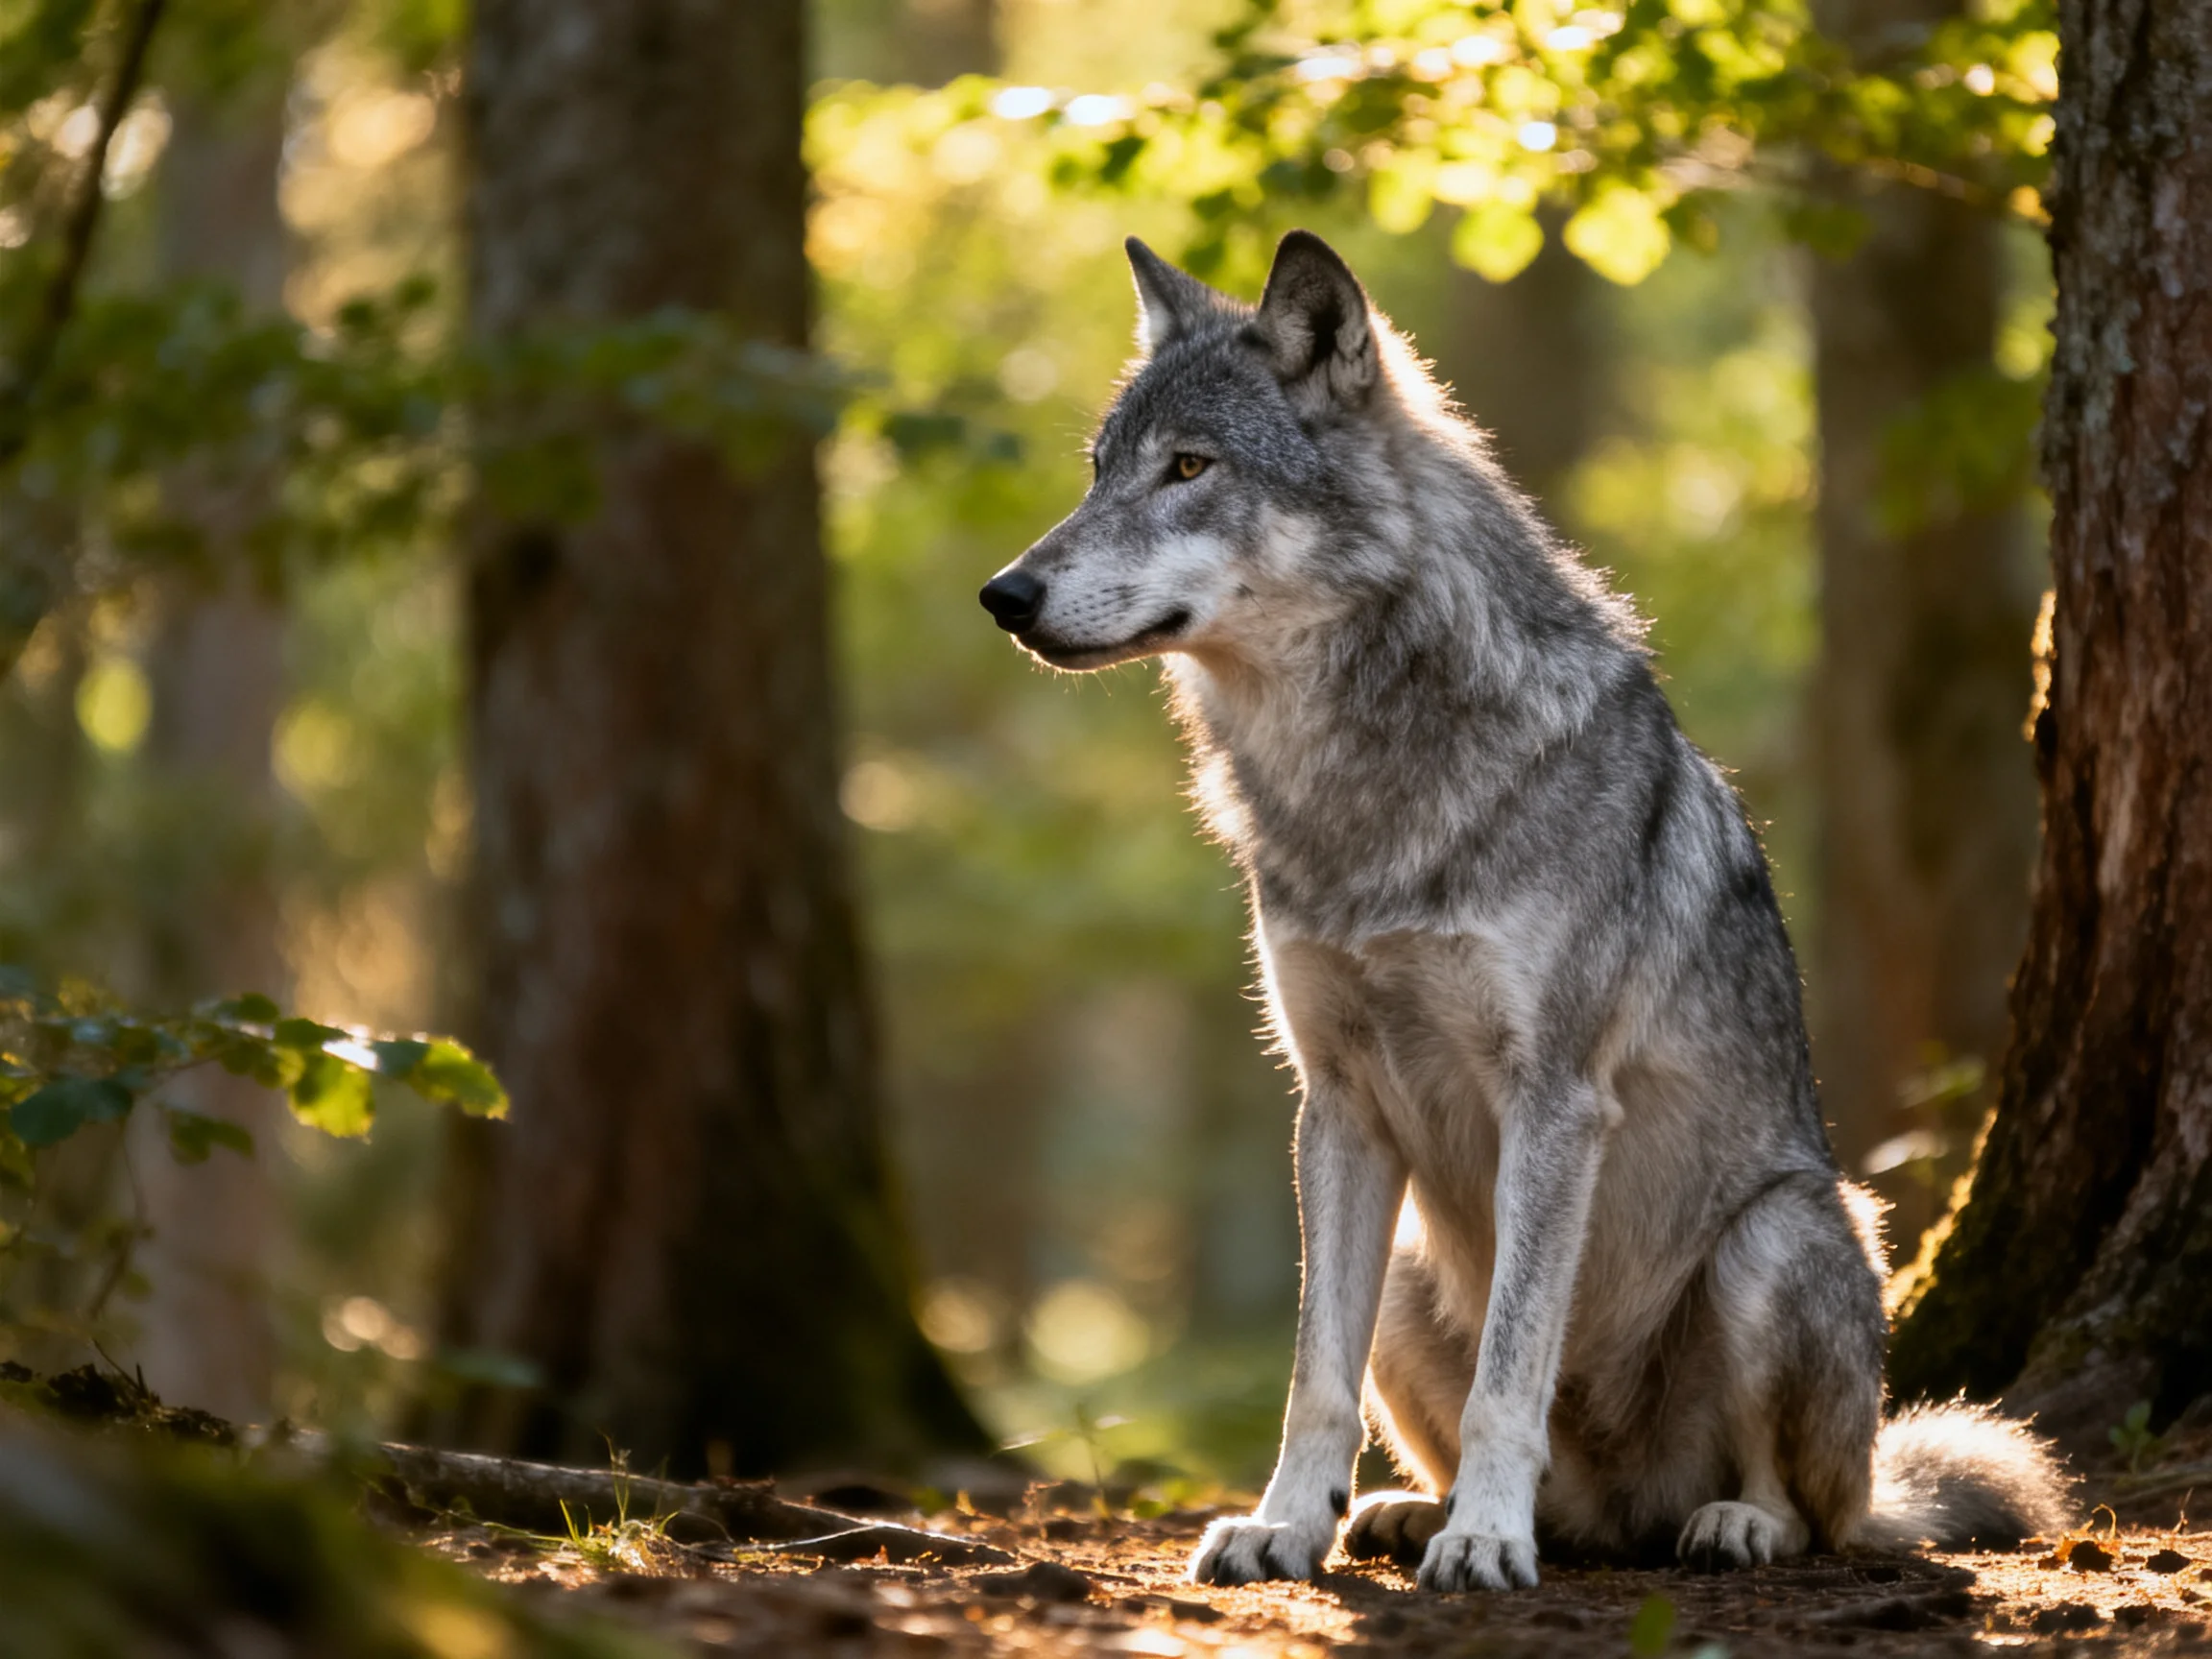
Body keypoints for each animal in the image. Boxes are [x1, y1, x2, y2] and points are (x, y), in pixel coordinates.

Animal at [978, 230, 2068, 1592]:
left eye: (1189, 468)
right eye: (1099, 473)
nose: (1004, 594)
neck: (1361, 788)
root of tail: (1632, 1505)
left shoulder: (1552, 1100)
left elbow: (1513, 1370)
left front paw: (1487, 1543)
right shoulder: (1335, 1104)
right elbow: (1311, 1377)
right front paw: (1286, 1526)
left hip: (1780, 1235)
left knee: (1814, 1506)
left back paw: (1718, 1523)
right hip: (1409, 1268)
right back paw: (1418, 1512)